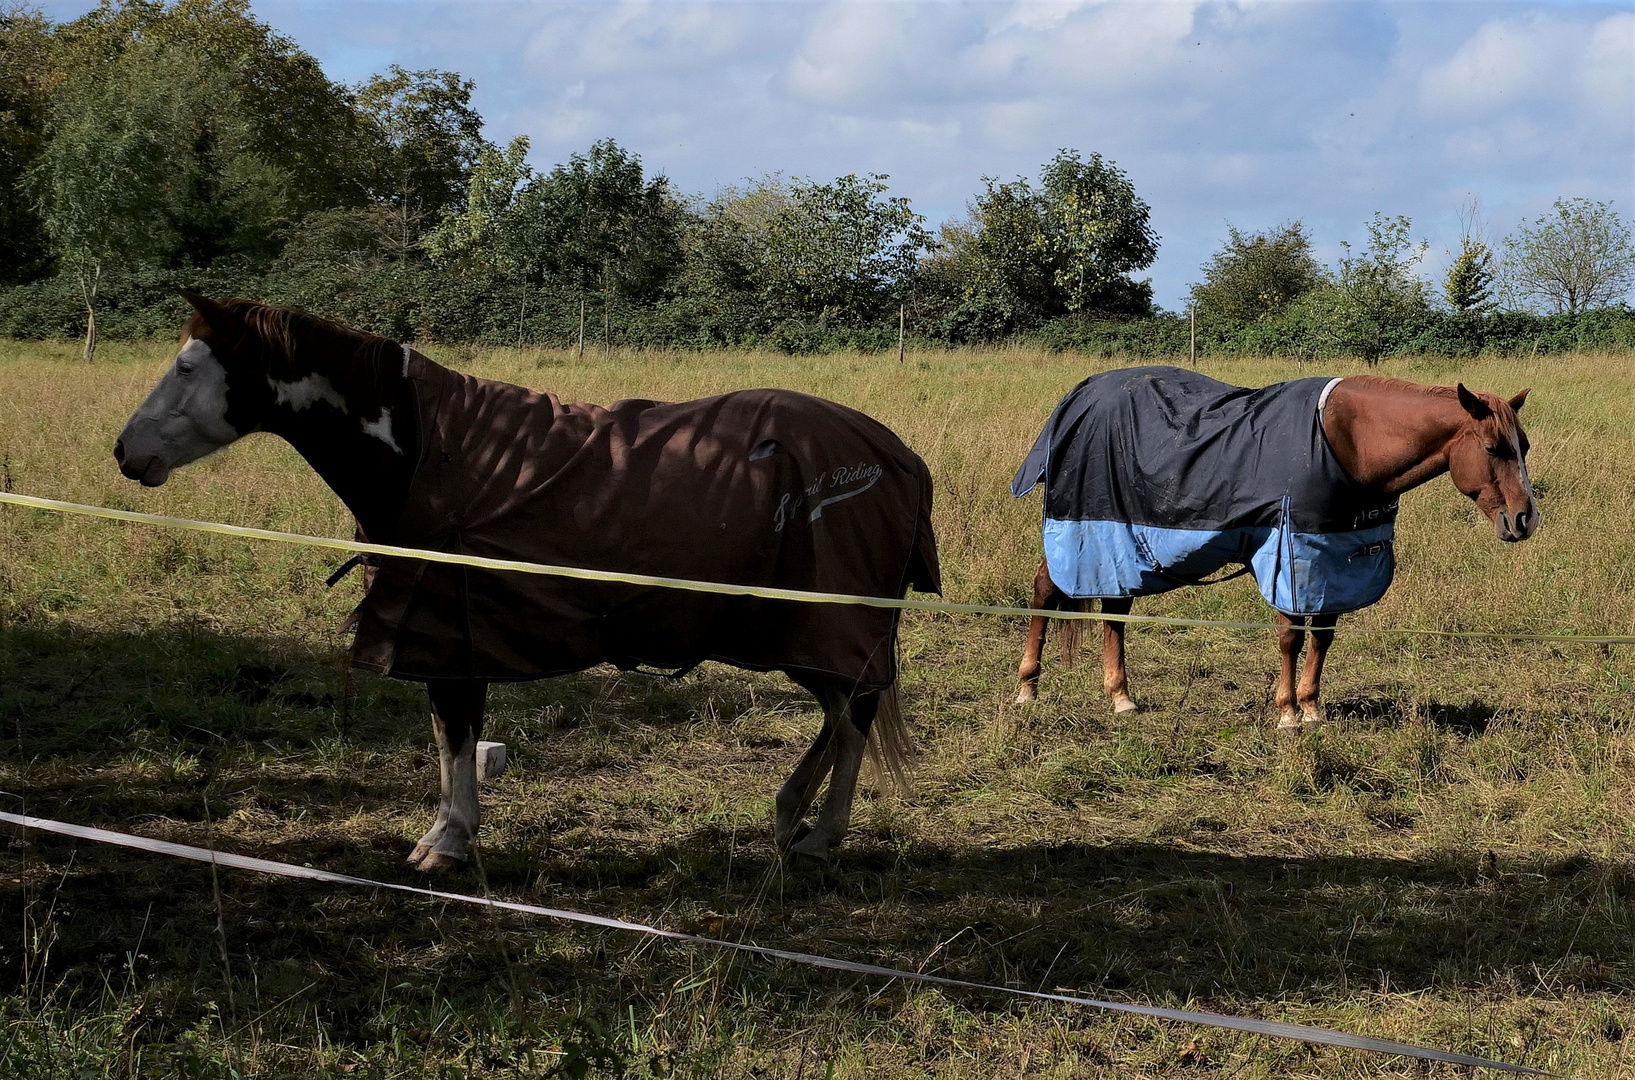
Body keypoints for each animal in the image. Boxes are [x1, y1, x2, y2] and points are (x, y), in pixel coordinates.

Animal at [111, 292, 948, 869]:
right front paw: (446, 831)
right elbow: (449, 734)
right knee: (841, 713)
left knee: (854, 714)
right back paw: (788, 814)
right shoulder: (449, 634)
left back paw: (819, 837)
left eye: (187, 367)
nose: (126, 451)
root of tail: (901, 456)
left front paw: (446, 841)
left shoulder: (448, 635)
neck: (426, 447)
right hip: (800, 635)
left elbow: (455, 733)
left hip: (822, 627)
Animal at [1013, 365, 1536, 728]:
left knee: (1115, 610)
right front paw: (1287, 713)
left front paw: (1312, 708)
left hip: (1121, 543)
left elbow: (1321, 636)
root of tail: (1078, 395)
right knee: (1046, 589)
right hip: (1088, 531)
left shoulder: (1334, 560)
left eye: (1524, 447)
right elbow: (1291, 638)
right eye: (1493, 448)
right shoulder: (1290, 553)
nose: (1525, 519)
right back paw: (1028, 687)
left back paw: (1121, 696)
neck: (1346, 443)